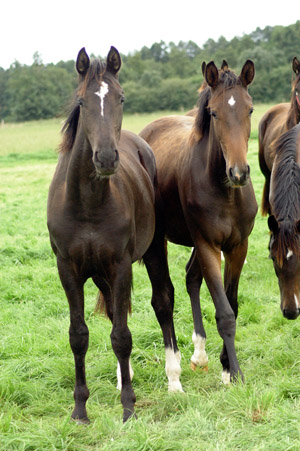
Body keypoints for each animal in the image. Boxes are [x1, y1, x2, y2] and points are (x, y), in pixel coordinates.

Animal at [47, 46, 161, 424]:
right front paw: (80, 409)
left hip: (149, 254)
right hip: (99, 275)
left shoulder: (120, 266)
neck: (87, 204)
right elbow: (78, 335)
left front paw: (128, 407)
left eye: (120, 98)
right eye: (82, 102)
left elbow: (122, 335)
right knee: (113, 313)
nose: (107, 158)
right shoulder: (68, 269)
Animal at [139, 59, 256, 384]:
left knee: (191, 279)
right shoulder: (207, 245)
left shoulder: (237, 247)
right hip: (159, 242)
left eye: (250, 109)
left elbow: (232, 304)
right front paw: (235, 373)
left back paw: (199, 354)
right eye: (214, 112)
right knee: (164, 297)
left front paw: (226, 365)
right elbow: (224, 313)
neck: (226, 192)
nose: (239, 172)